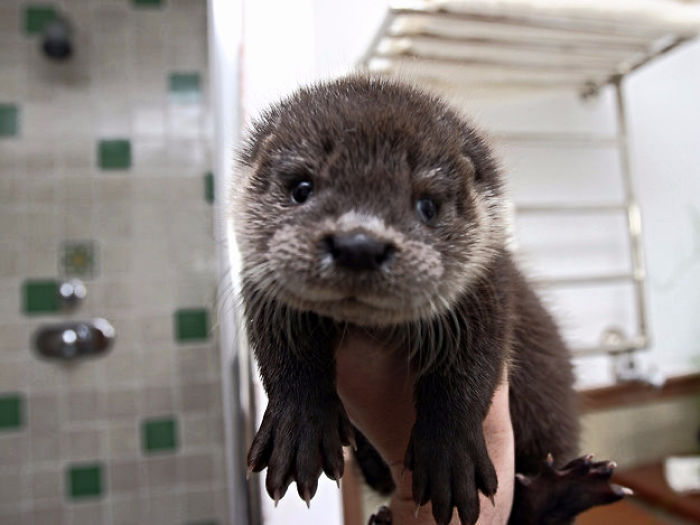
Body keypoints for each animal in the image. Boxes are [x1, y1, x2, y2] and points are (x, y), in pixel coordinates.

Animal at [233, 76, 626, 525]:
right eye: (301, 187)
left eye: (427, 205)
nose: (358, 244)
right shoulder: (261, 289)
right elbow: (283, 352)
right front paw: (300, 426)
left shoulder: (488, 292)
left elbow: (469, 368)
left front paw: (448, 457)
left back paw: (560, 492)